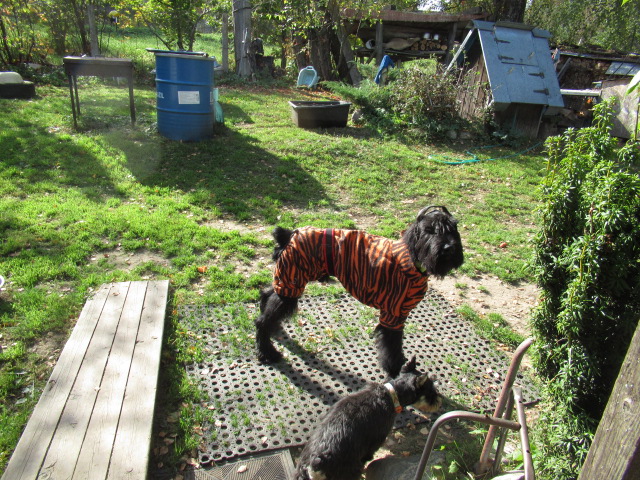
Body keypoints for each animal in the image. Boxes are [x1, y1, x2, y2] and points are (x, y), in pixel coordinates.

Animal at [255, 205, 464, 377]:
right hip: (291, 285)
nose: (448, 247)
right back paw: (267, 352)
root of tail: (289, 234)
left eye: (453, 228)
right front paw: (396, 372)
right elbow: (392, 348)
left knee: (267, 295)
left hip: (287, 284)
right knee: (262, 321)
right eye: (430, 230)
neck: (411, 259)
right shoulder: (392, 317)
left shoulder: (398, 315)